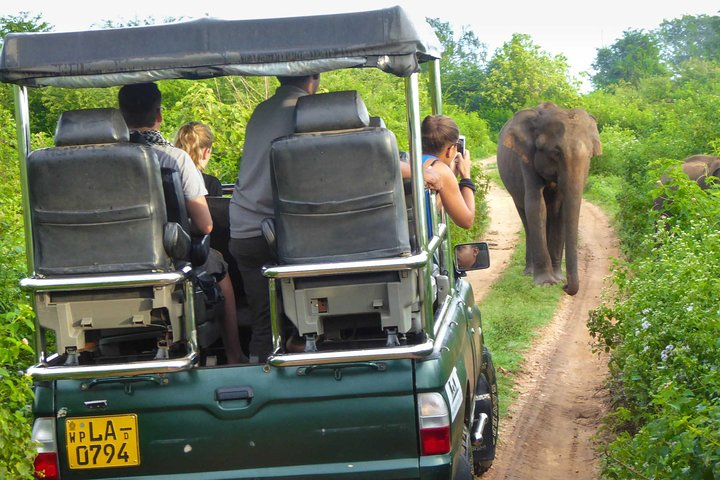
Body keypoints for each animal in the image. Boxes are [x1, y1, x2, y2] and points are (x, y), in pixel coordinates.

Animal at [496, 103, 600, 294]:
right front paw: (546, 283)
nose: (565, 286)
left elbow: (559, 210)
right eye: (556, 152)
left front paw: (557, 278)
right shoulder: (526, 158)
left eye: (590, 155)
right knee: (526, 218)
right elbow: (536, 206)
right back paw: (530, 272)